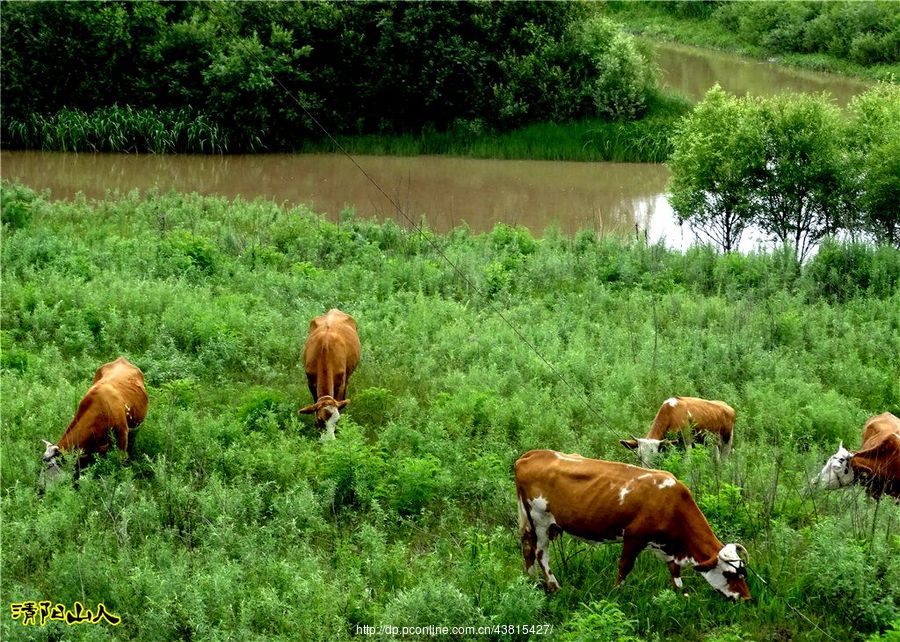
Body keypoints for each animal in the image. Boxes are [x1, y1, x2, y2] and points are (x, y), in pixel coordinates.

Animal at [298, 308, 362, 438]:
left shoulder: (340, 384)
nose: (329, 440)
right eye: (320, 420)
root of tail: (334, 310)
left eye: (337, 420)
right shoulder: (310, 382)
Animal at [512, 448, 752, 596]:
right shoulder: (635, 536)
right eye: (731, 574)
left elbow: (674, 569)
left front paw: (679, 594)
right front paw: (616, 592)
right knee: (540, 554)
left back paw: (532, 582)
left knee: (527, 549)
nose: (747, 598)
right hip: (540, 521)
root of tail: (532, 455)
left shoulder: (664, 544)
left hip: (533, 522)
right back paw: (554, 587)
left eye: (743, 572)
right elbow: (624, 567)